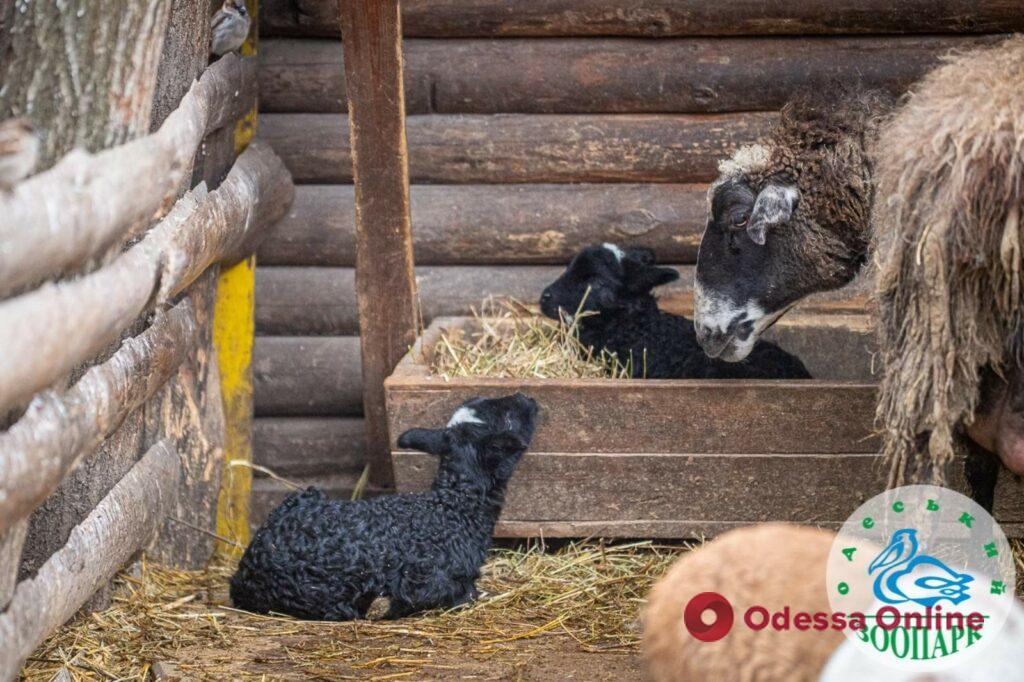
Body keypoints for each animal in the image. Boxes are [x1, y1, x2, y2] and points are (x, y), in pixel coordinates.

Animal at [230, 391, 536, 618]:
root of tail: (246, 571)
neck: (453, 507)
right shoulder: (431, 584)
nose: (526, 397)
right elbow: (460, 595)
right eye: (507, 417)